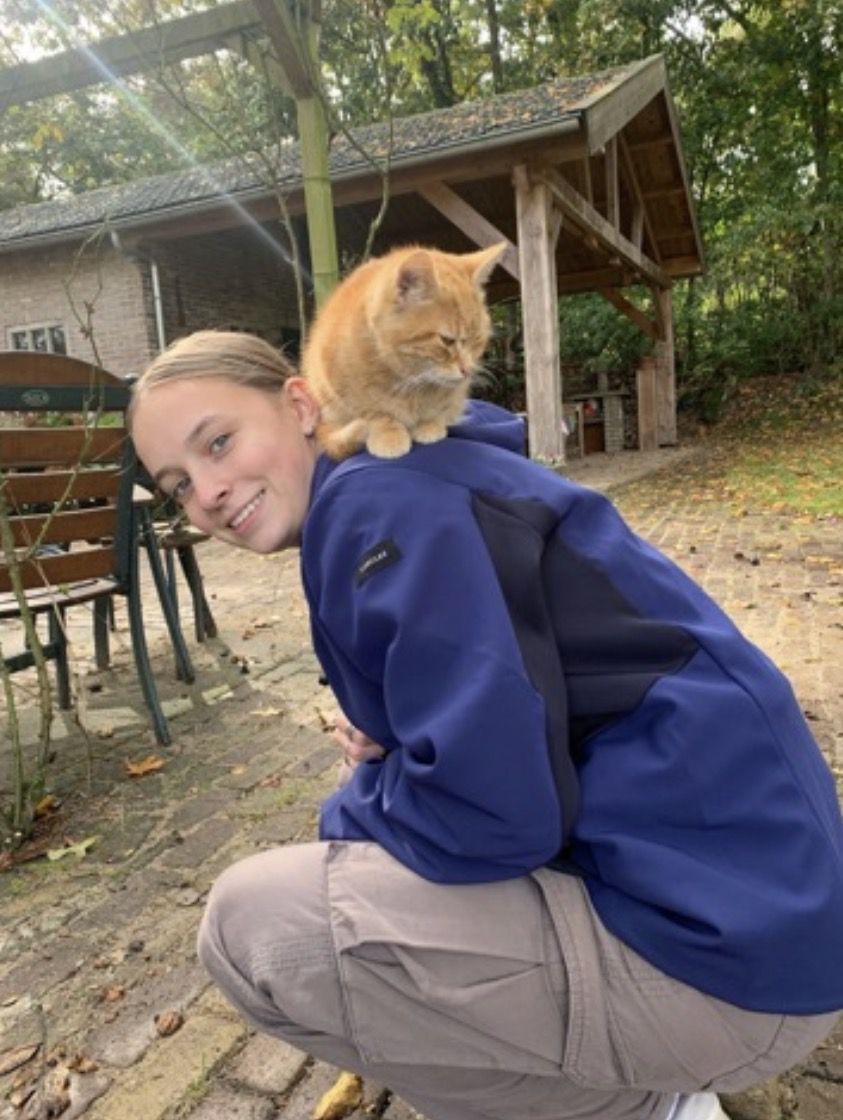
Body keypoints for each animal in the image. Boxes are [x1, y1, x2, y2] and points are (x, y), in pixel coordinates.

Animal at [302, 242, 506, 460]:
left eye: (477, 340)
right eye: (447, 340)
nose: (467, 370)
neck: (408, 381)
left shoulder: (452, 394)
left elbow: (438, 409)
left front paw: (430, 425)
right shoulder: (340, 388)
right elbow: (375, 412)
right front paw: (388, 433)